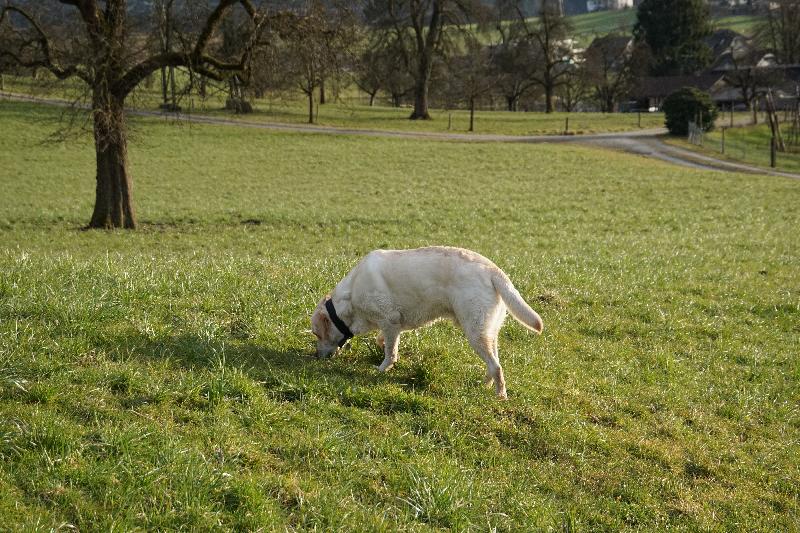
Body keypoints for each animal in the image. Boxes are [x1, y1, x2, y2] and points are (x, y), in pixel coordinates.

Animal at [310, 246, 543, 399]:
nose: (316, 357)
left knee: (497, 367)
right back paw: (485, 384)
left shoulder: (389, 320)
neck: (351, 297)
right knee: (493, 363)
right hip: (486, 331)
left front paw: (383, 368)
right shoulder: (393, 325)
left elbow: (390, 352)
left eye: (316, 333)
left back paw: (500, 396)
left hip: (474, 331)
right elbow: (385, 343)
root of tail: (494, 270)